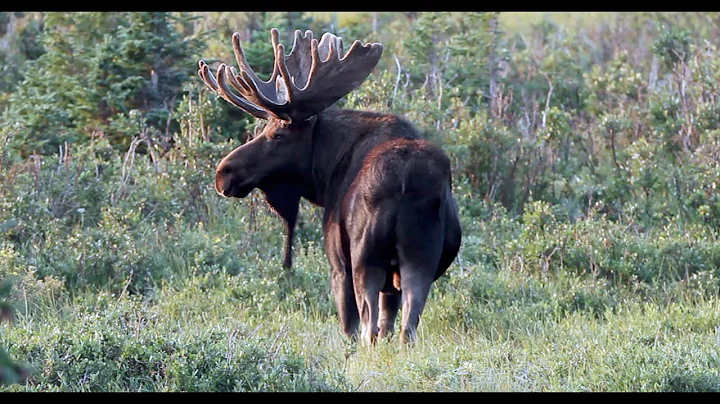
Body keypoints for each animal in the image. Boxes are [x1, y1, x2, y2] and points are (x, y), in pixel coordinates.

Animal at [198, 28, 462, 346]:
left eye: (277, 134)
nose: (223, 173)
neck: (326, 173)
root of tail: (404, 181)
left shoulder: (337, 263)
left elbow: (349, 325)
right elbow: (389, 320)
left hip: (365, 258)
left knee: (368, 323)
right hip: (419, 255)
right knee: (407, 321)